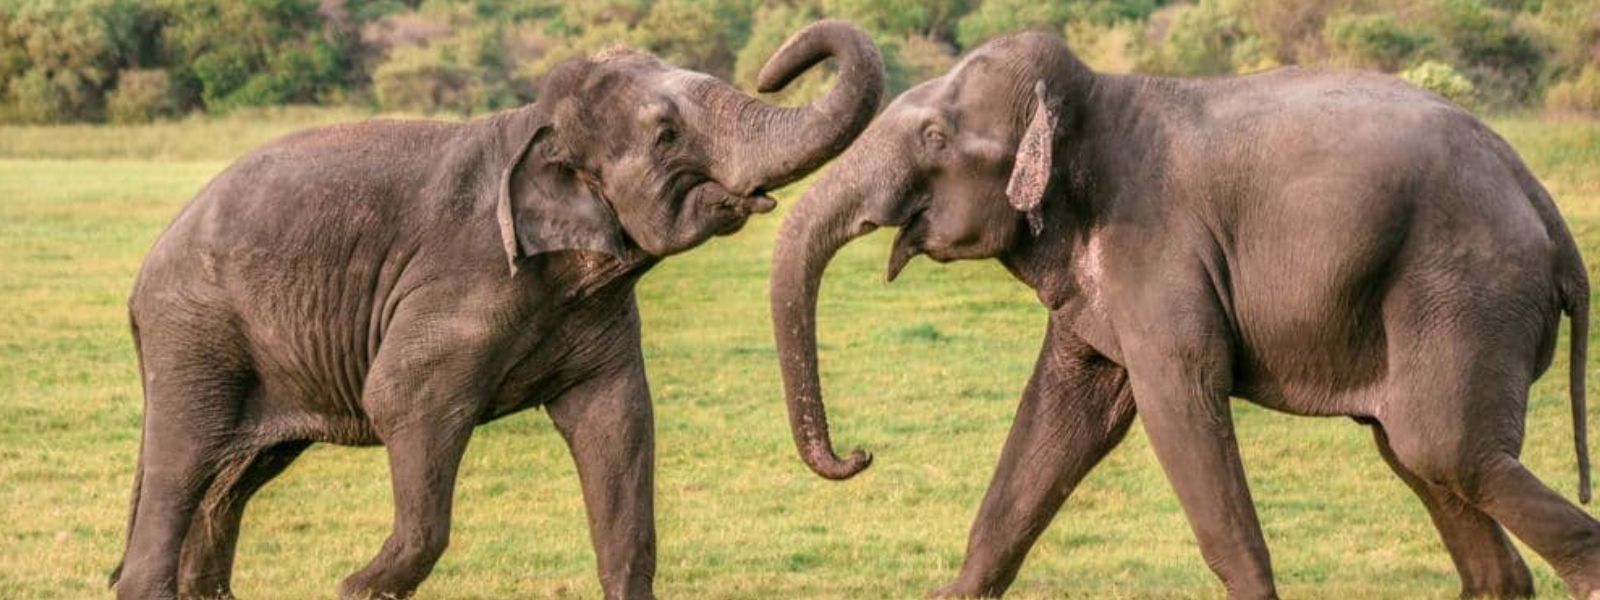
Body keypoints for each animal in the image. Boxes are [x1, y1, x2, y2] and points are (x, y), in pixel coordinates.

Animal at [109, 20, 883, 600]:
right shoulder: (459, 285)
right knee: (185, 461)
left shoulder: (597, 318)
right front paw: (352, 588)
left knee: (234, 477)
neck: (533, 126)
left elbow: (619, 425)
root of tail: (146, 272)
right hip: (196, 331)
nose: (863, 453)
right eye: (665, 134)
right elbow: (398, 399)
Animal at [769, 30, 1597, 599]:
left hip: (1469, 289)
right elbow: (1061, 416)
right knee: (1418, 455)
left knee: (1445, 449)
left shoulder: (1157, 248)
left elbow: (1178, 399)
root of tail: (1542, 203)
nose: (857, 456)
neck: (1088, 101)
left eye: (934, 137)